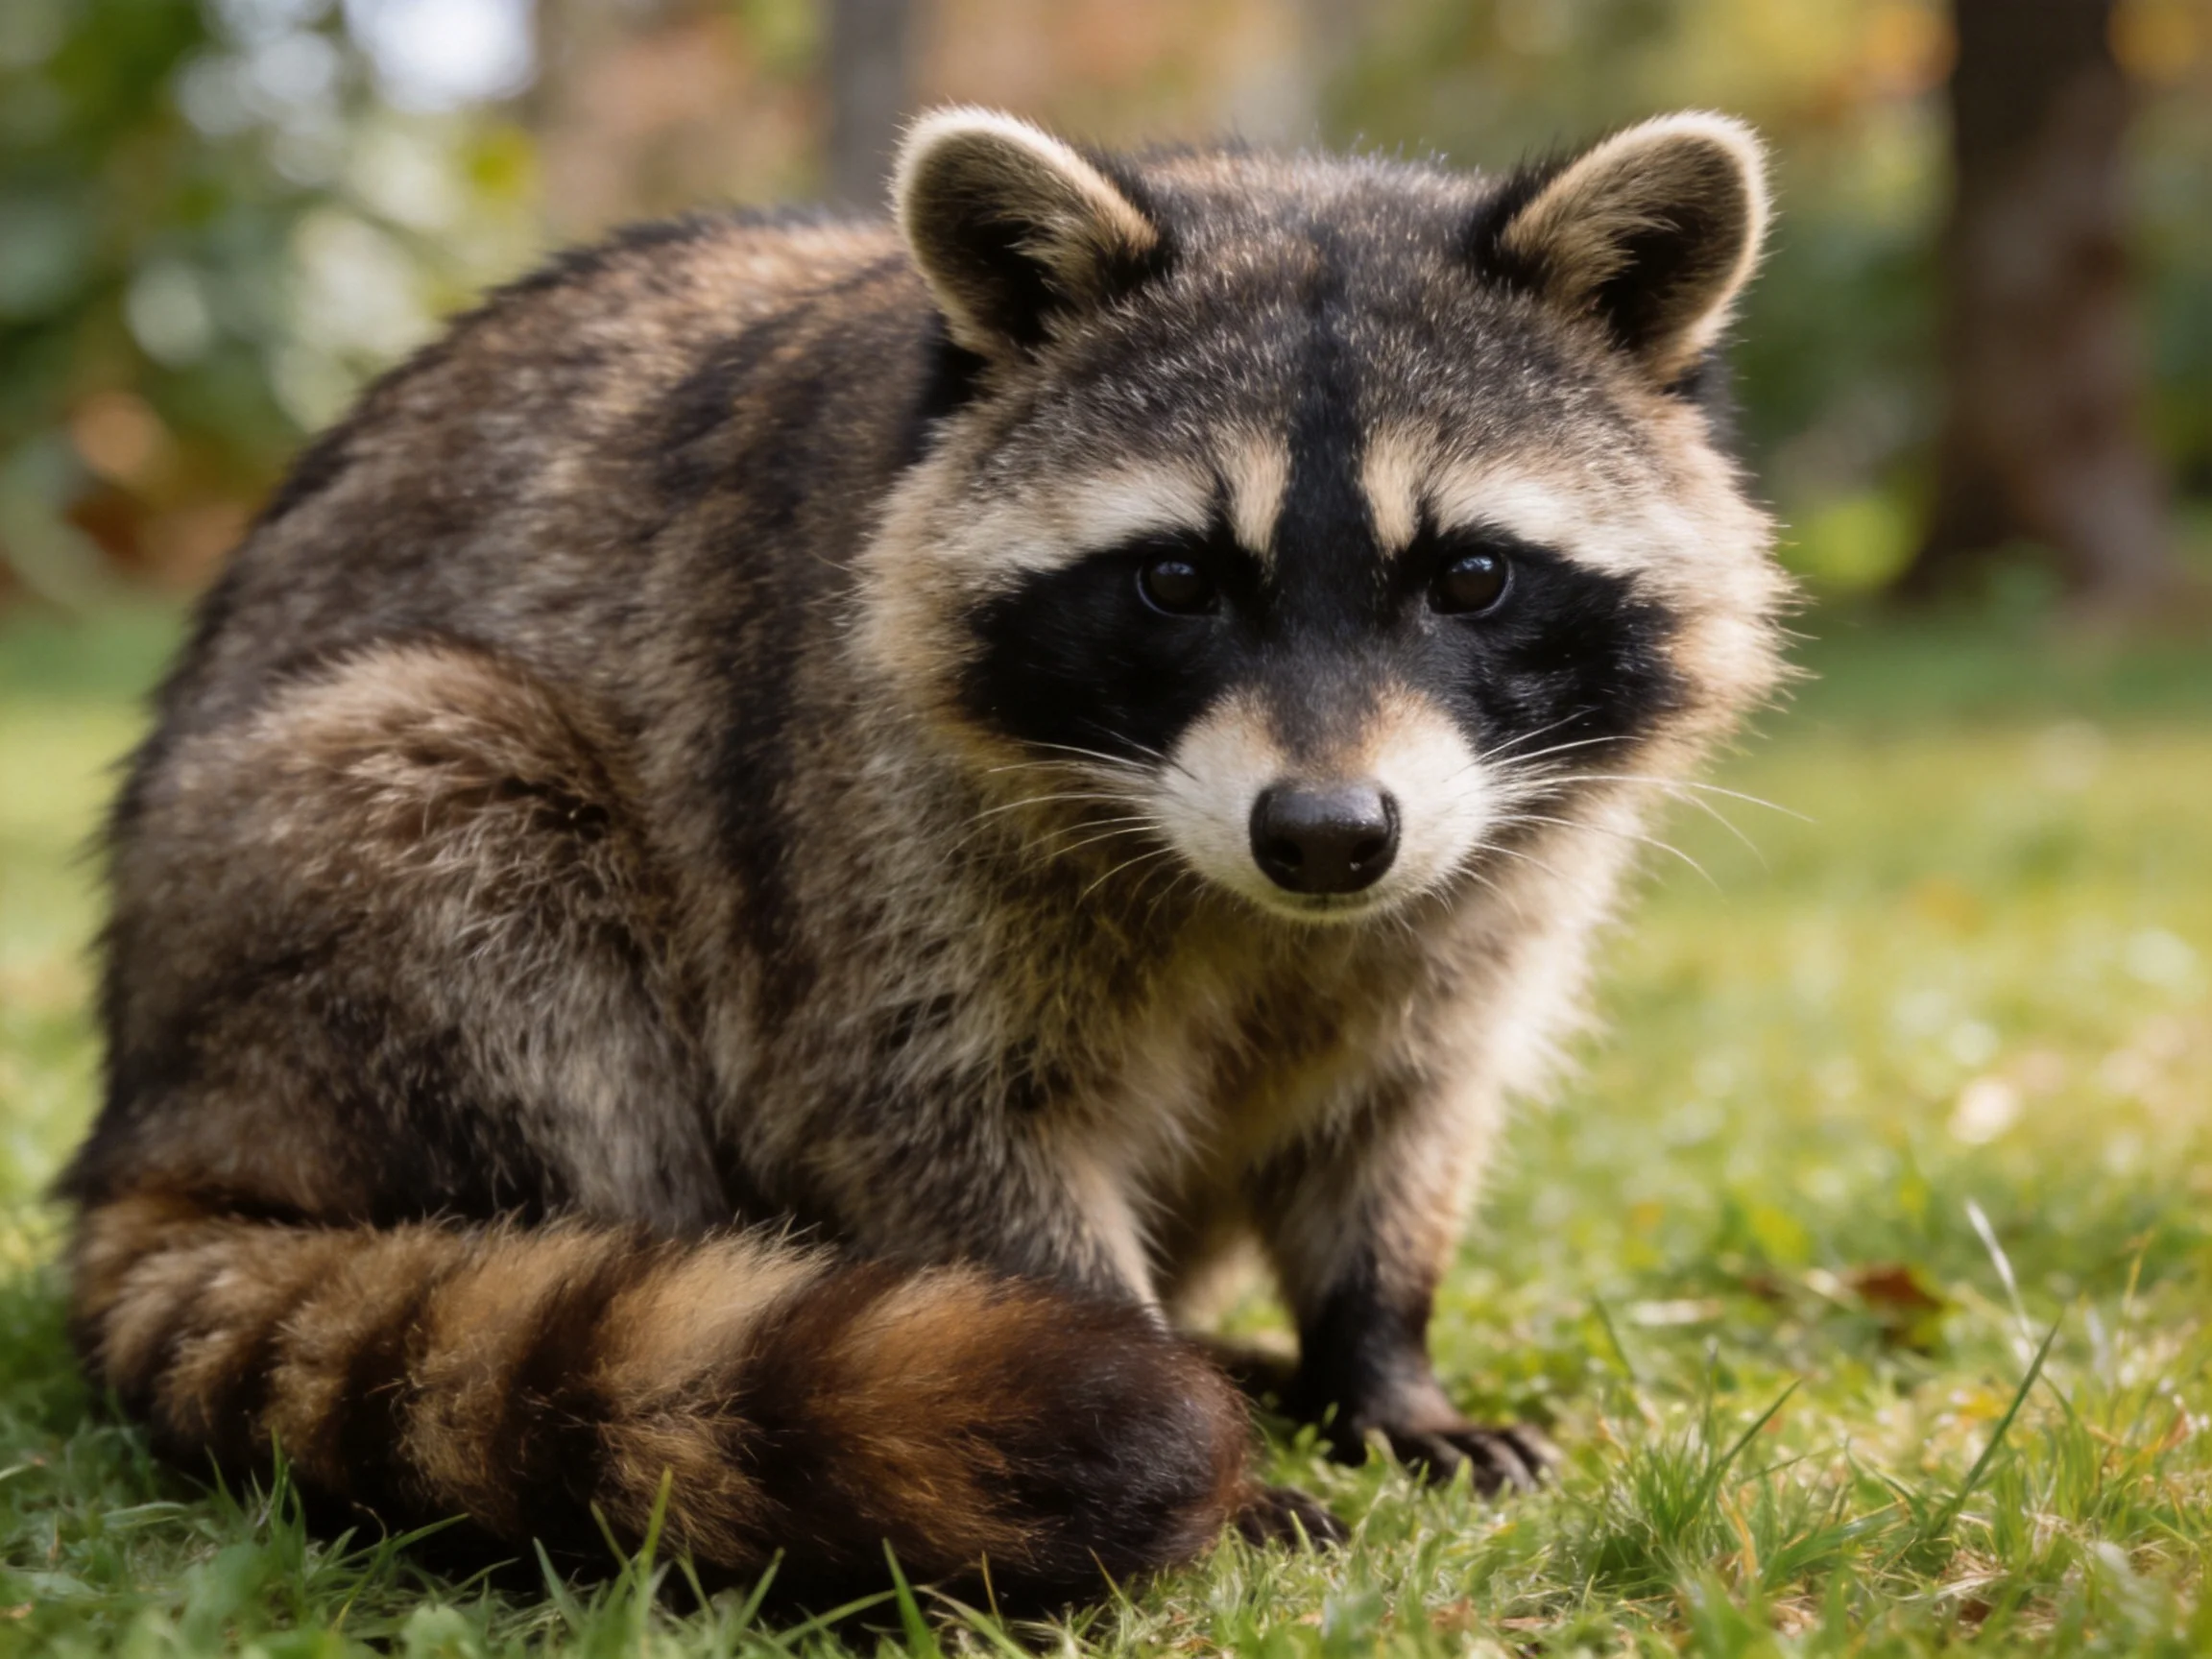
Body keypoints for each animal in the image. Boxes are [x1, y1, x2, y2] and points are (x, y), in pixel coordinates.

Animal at [64, 108, 1784, 1605]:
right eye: (1175, 580)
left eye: (1470, 575)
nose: (1323, 836)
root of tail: (154, 1117)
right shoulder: (855, 826)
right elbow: (927, 1111)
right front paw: (1152, 1387)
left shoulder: (1481, 872)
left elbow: (1401, 1107)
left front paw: (1380, 1360)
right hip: (355, 875)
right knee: (488, 841)